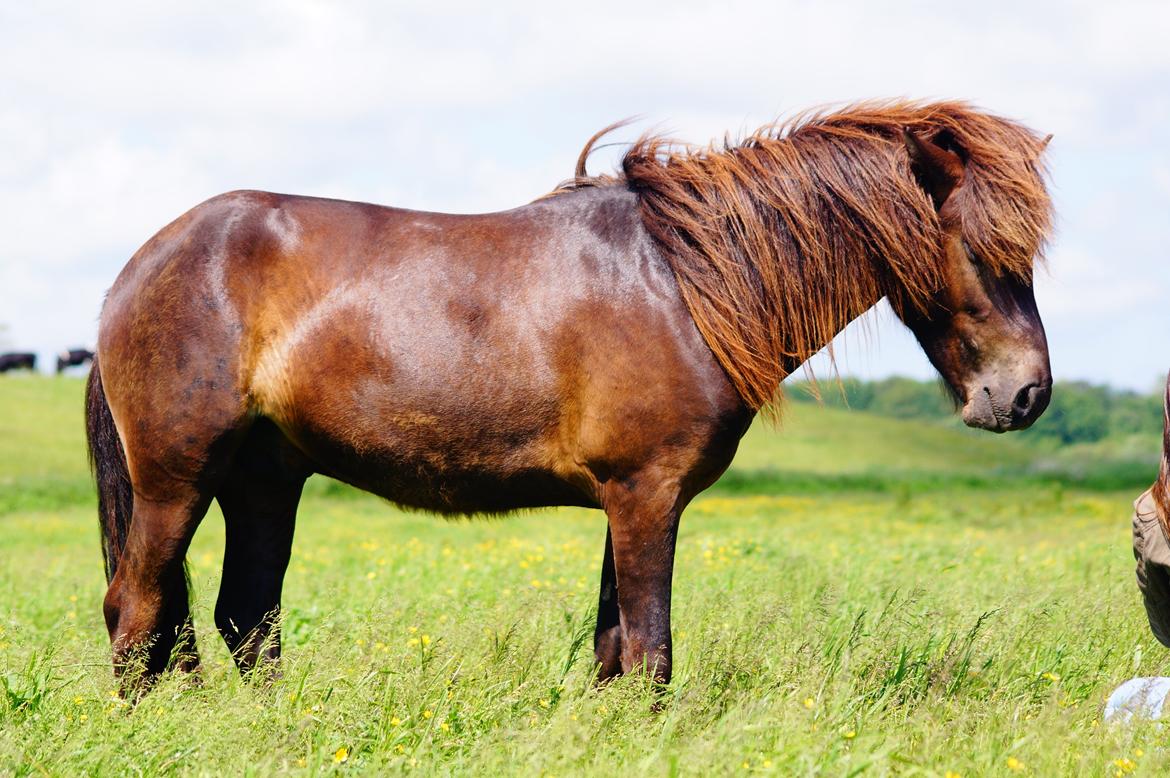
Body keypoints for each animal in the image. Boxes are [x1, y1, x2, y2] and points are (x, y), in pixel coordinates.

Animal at [86, 100, 1057, 687]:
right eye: (981, 247)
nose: (1025, 395)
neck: (685, 285)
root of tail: (139, 267)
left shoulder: (631, 499)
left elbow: (612, 649)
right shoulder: (647, 495)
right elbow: (651, 651)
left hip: (263, 482)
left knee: (244, 620)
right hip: (176, 480)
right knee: (139, 612)